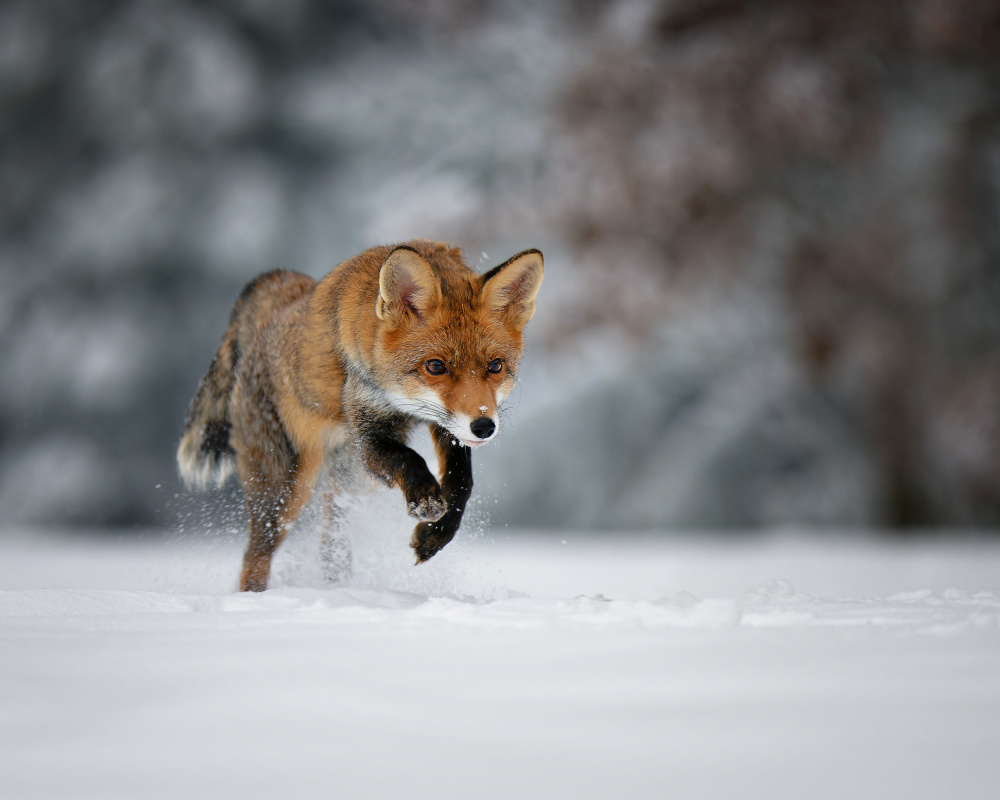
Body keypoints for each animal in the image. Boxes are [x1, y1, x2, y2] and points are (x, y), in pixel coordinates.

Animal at [177, 239, 543, 591]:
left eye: (495, 366)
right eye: (436, 367)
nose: (483, 426)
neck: (401, 399)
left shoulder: (443, 424)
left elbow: (463, 483)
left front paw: (435, 534)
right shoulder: (367, 429)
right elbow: (409, 459)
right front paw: (425, 499)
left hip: (343, 482)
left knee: (332, 540)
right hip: (285, 491)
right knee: (254, 557)